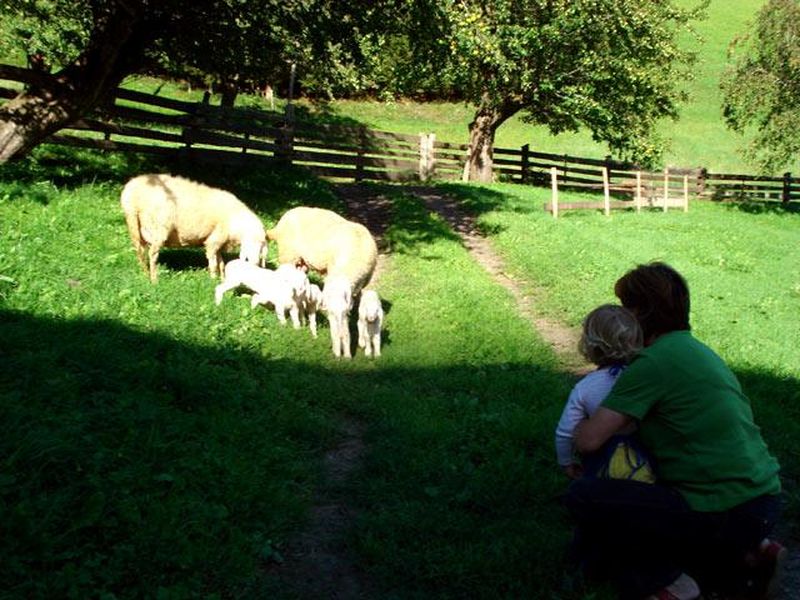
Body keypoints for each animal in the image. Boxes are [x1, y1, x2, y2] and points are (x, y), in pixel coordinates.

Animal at [120, 173, 268, 284]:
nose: (255, 264)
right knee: (152, 254)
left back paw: (144, 274)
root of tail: (131, 195)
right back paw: (154, 279)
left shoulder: (219, 242)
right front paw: (213, 280)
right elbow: (213, 262)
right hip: (158, 228)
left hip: (137, 228)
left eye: (261, 250)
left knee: (140, 251)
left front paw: (223, 278)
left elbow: (221, 262)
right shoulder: (214, 240)